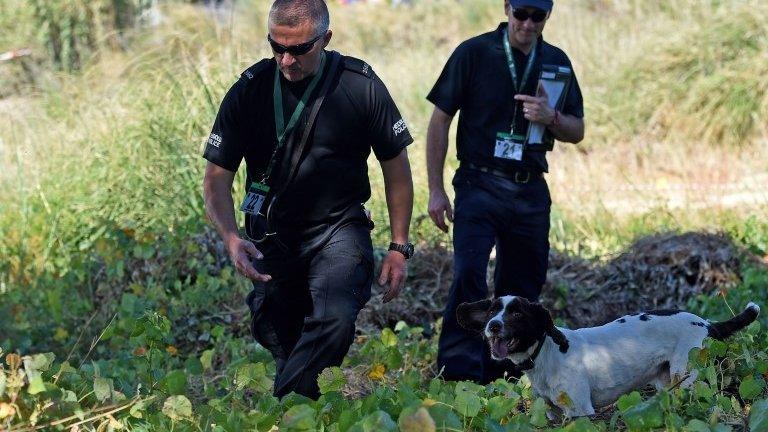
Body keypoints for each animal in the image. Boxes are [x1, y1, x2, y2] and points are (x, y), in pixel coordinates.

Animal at [460, 296, 760, 416]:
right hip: (669, 384)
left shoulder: (581, 412)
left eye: (517, 313)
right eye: (492, 311)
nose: (492, 326)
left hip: (689, 377)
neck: (547, 353)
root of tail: (706, 323)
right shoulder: (553, 415)